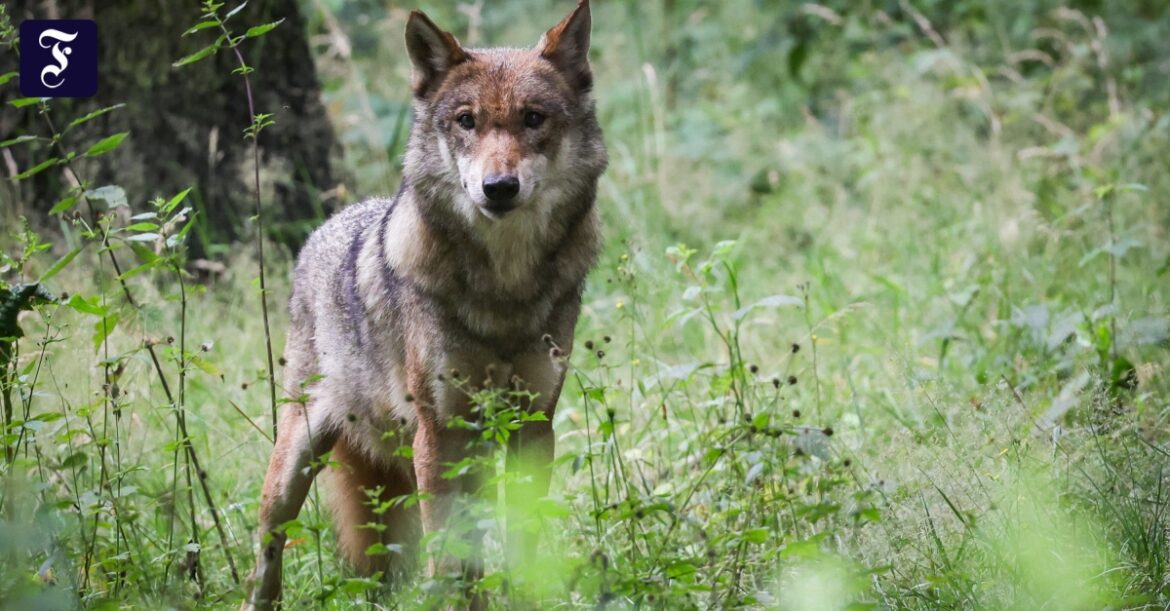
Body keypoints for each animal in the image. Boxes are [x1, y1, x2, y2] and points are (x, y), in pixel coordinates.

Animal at [237, 2, 603, 603]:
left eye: (533, 119)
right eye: (466, 121)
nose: (498, 187)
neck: (504, 290)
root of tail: (327, 227)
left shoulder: (532, 425)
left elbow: (521, 547)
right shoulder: (440, 433)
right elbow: (449, 557)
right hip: (296, 462)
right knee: (267, 553)